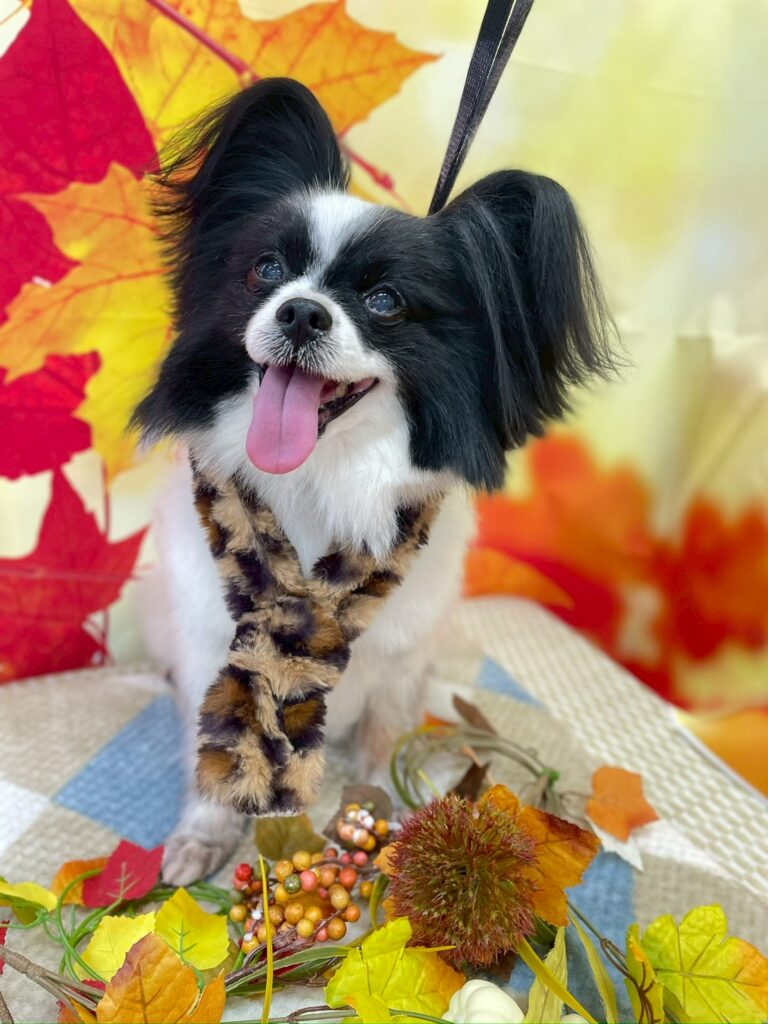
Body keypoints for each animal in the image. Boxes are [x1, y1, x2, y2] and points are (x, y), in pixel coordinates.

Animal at [133, 78, 613, 885]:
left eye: (384, 301)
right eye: (266, 270)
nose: (301, 310)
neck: (320, 482)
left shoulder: (397, 665)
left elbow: (384, 747)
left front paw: (389, 824)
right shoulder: (213, 647)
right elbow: (217, 754)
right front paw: (205, 833)